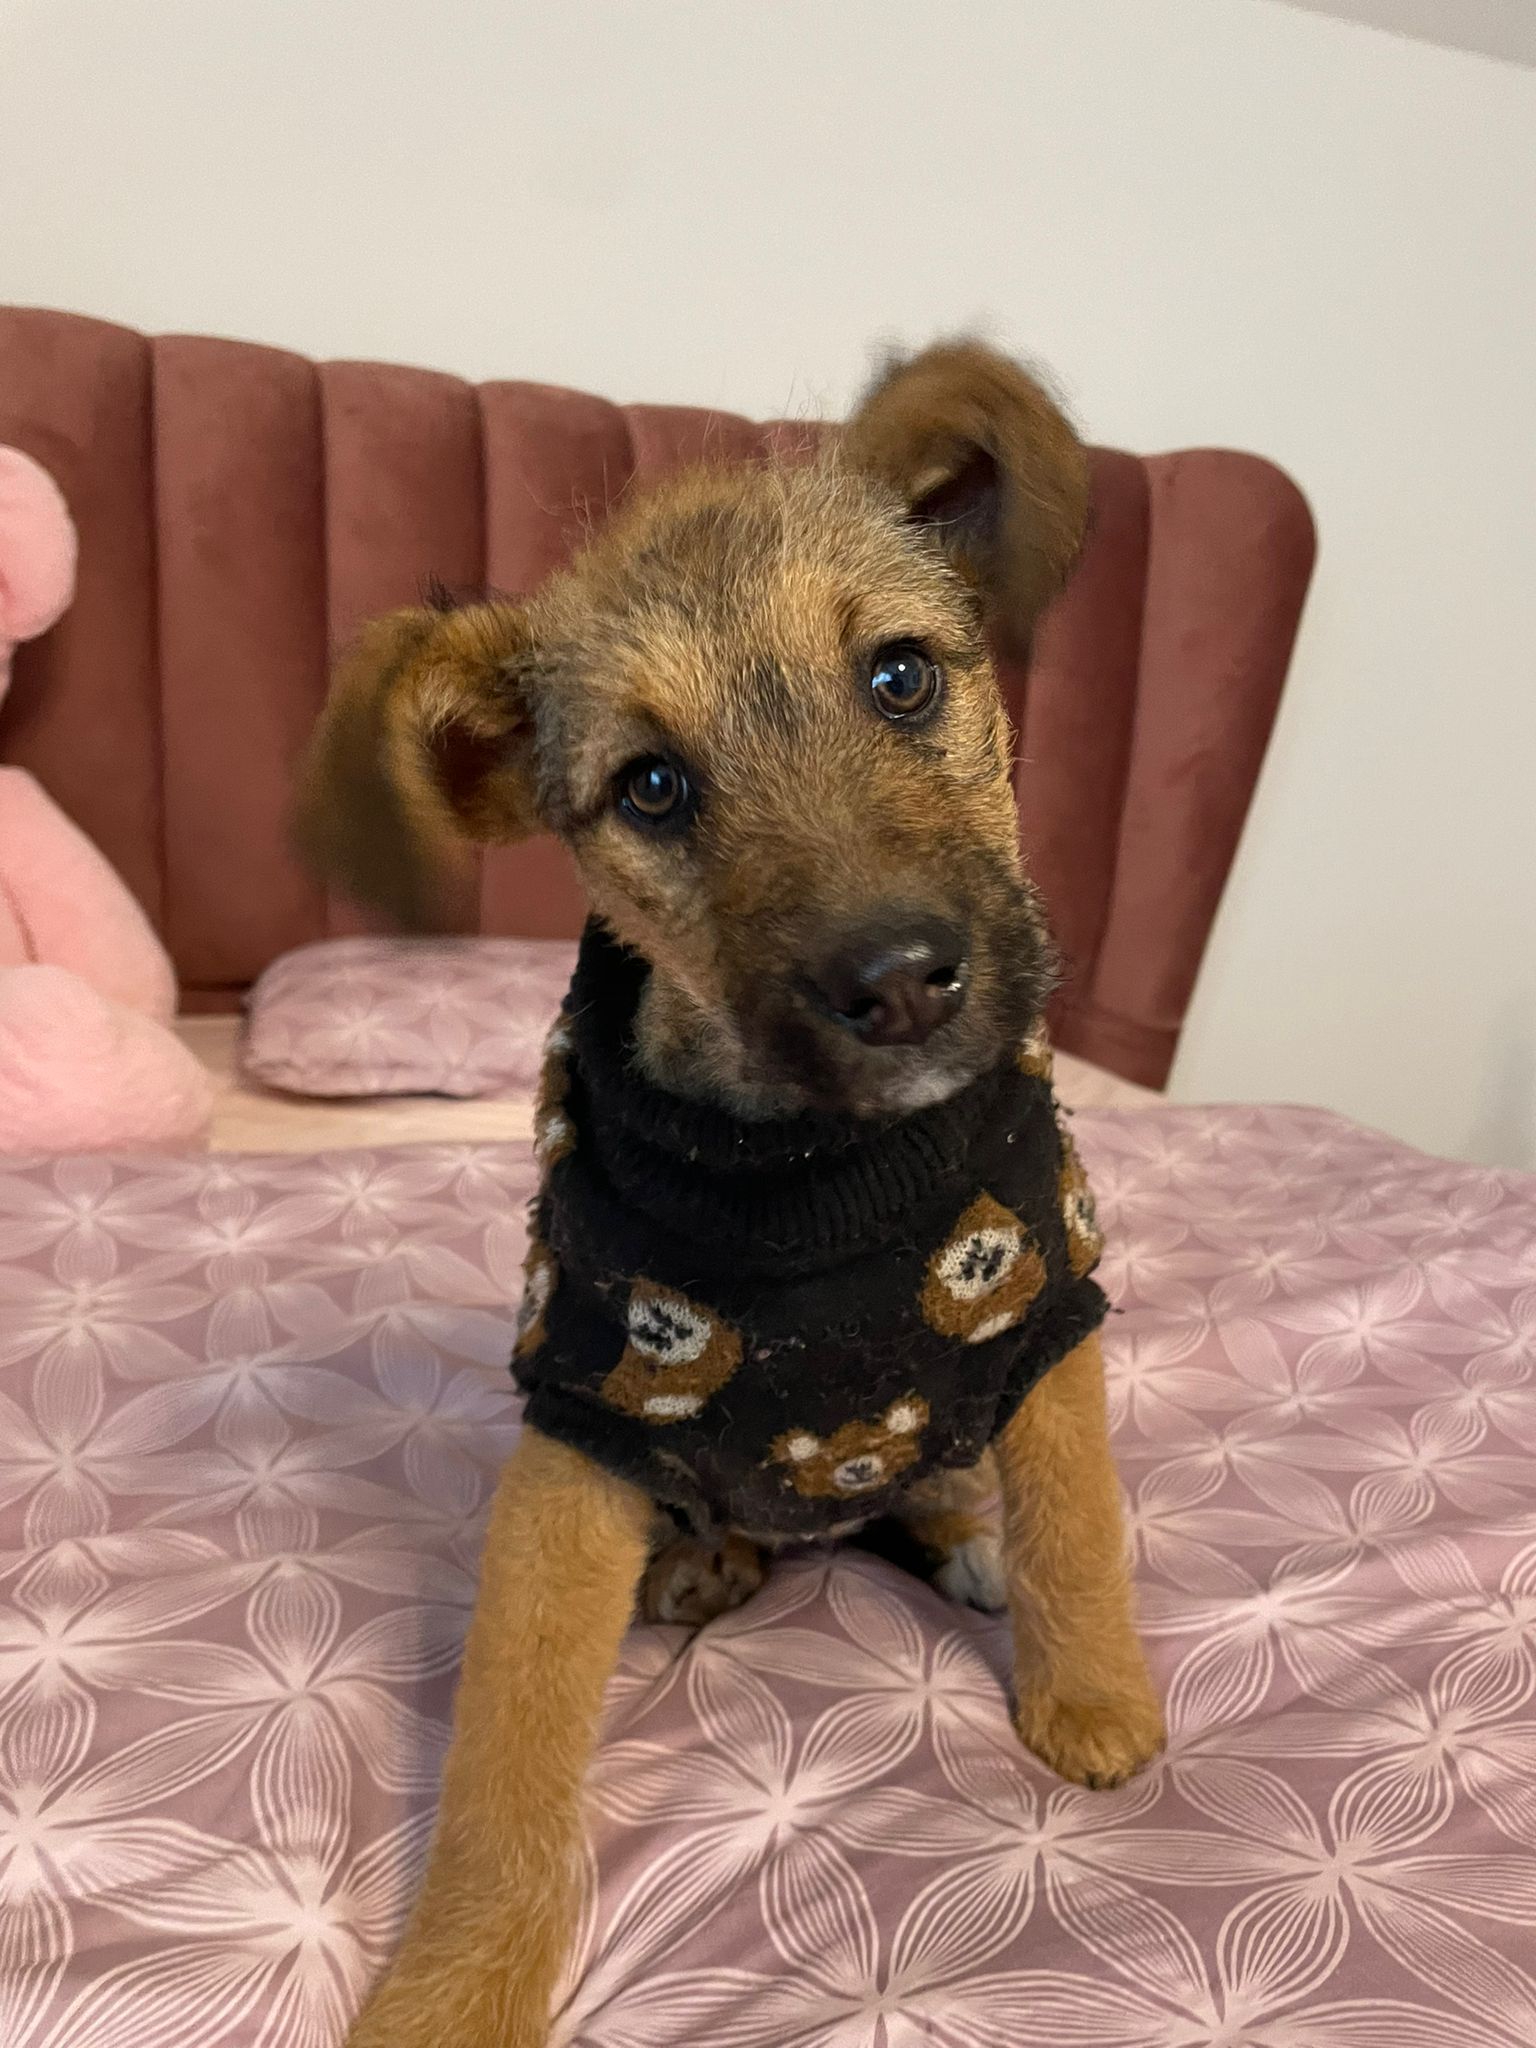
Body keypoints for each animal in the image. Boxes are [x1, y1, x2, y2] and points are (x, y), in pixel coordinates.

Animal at [298, 341, 1166, 2048]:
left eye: (901, 677)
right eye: (650, 786)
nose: (898, 983)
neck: (821, 1179)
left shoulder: (1050, 1310)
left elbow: (1079, 1523)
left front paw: (1093, 1701)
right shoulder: (580, 1427)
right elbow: (504, 1761)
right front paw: (455, 1987)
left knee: (949, 1492)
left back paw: (957, 1530)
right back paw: (707, 1557)